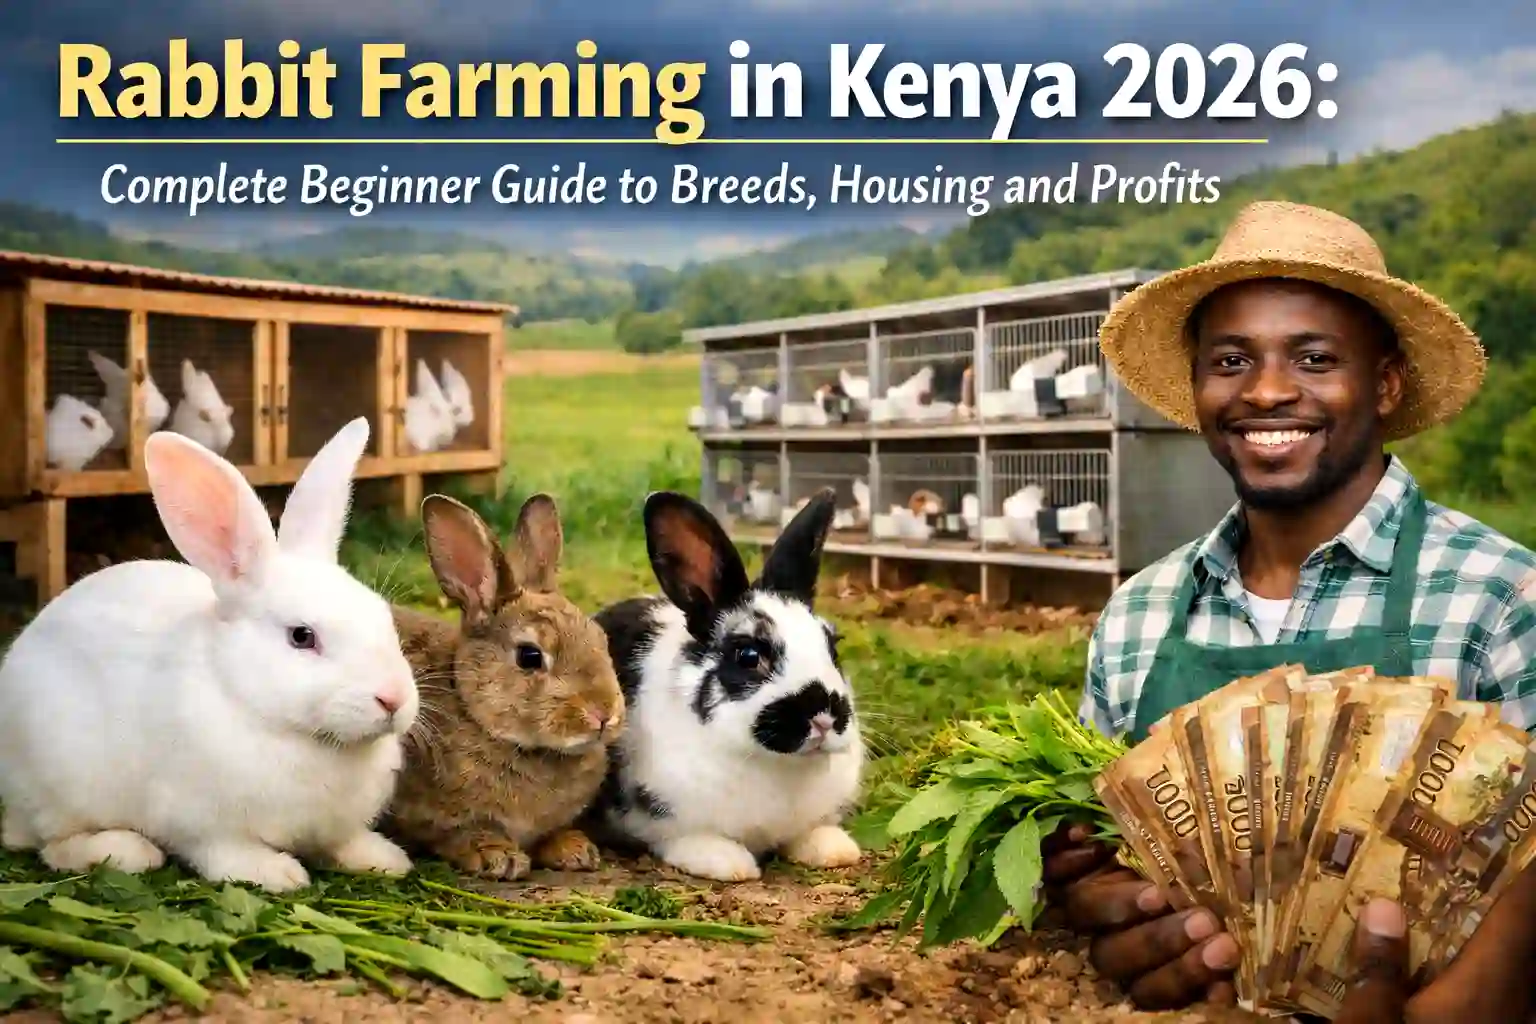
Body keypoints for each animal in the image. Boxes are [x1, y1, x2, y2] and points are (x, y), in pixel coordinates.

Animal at [0, 416, 420, 893]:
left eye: (382, 614)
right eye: (302, 636)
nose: (394, 699)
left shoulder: (335, 825)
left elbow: (343, 841)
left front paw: (385, 858)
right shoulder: (200, 822)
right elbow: (222, 853)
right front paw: (276, 873)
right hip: (62, 787)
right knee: (51, 845)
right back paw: (129, 851)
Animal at [385, 493, 625, 881]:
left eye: (600, 639)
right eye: (530, 656)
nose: (605, 714)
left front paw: (573, 849)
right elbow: (456, 834)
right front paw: (497, 855)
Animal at [586, 488, 864, 882]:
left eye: (833, 646)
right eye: (749, 656)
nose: (825, 716)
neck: (775, 765)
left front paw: (833, 849)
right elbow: (684, 837)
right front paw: (729, 863)